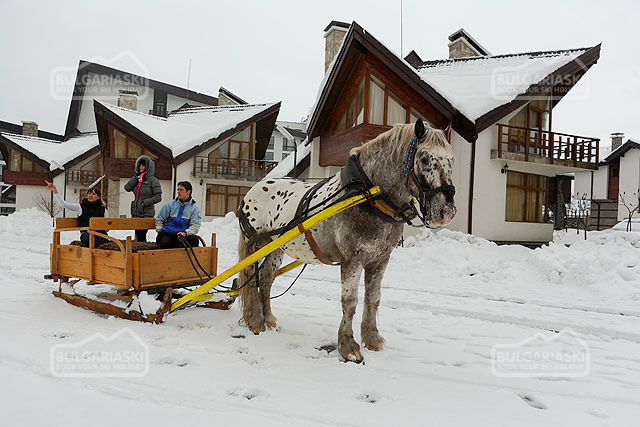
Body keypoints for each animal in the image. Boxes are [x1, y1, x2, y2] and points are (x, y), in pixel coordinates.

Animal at [236, 119, 456, 362]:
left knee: (266, 278)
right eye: (424, 158)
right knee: (249, 277)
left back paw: (268, 318)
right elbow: (350, 302)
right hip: (255, 243)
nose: (446, 212)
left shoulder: (380, 260)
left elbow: (373, 299)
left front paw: (372, 338)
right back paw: (255, 320)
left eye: (452, 159)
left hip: (277, 248)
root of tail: (254, 189)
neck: (369, 195)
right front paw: (348, 346)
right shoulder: (353, 260)